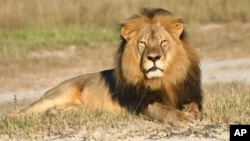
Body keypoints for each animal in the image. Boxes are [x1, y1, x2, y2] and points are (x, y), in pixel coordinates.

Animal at [15, 8, 203, 128]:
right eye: (142, 43)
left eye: (163, 42)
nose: (154, 58)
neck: (163, 79)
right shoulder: (140, 104)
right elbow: (163, 110)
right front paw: (183, 118)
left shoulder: (187, 93)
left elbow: (194, 105)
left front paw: (194, 113)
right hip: (58, 94)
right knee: (22, 112)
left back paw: (53, 114)